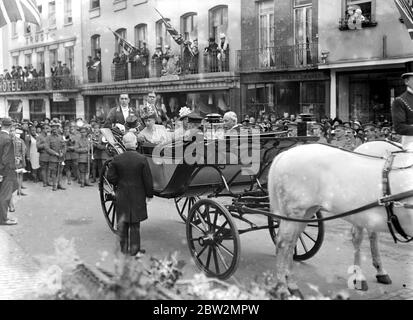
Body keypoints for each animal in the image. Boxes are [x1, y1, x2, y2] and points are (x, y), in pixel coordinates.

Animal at [268, 142, 410, 298]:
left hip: (307, 212)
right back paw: (282, 287)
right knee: (283, 244)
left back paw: (292, 285)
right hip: (295, 212)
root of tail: (285, 153)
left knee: (291, 243)